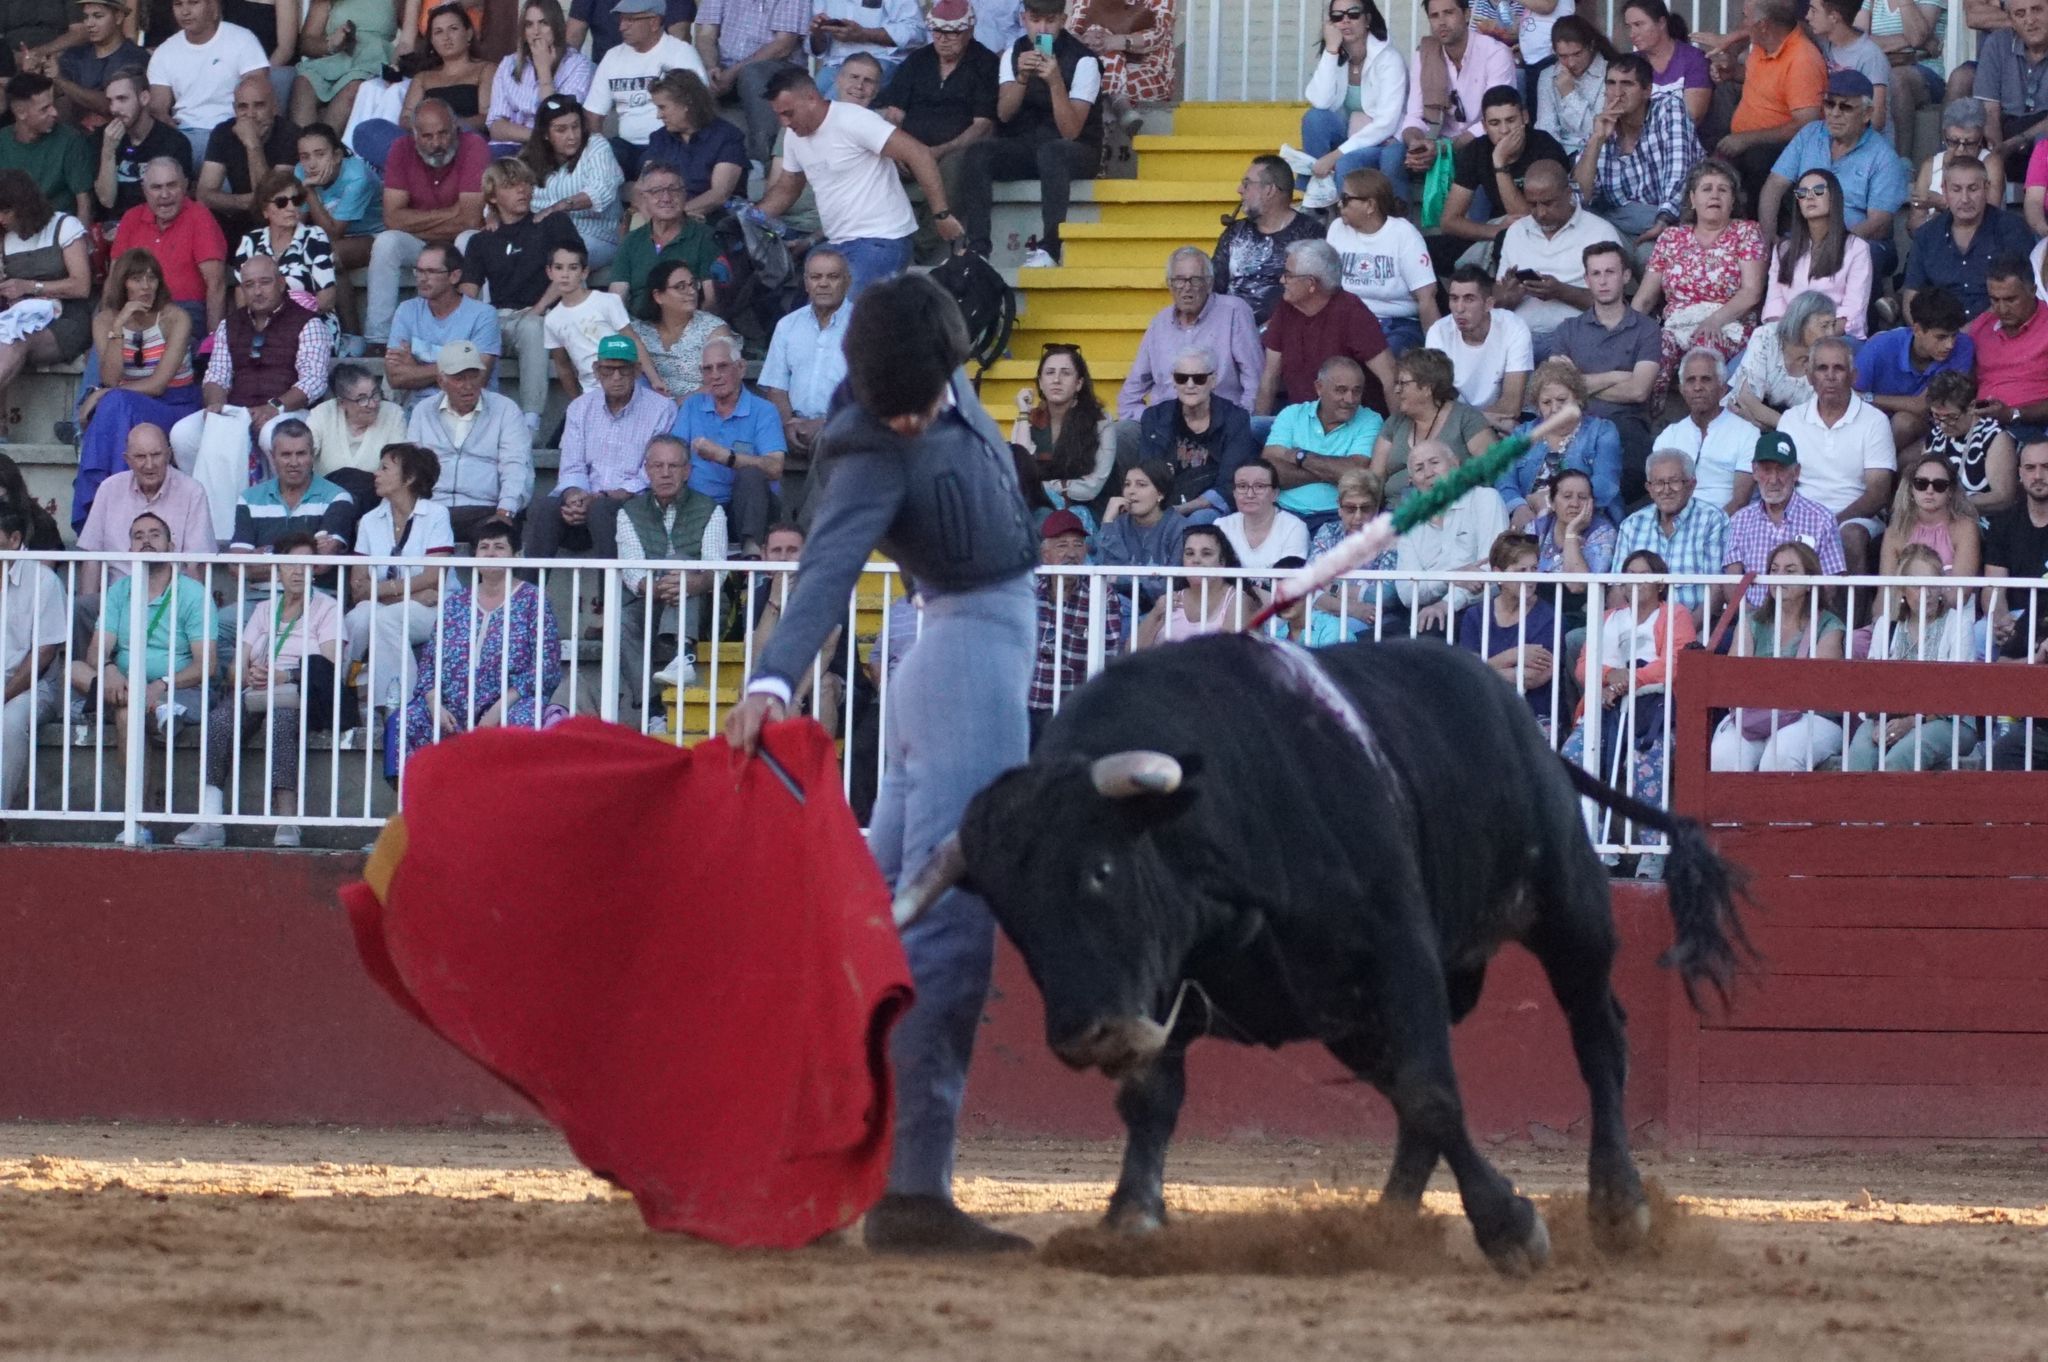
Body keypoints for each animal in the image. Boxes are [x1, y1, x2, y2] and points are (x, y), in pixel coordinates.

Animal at [897, 630, 1744, 1269]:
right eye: (1011, 915)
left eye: (1100, 870)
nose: (1086, 1035)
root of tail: (1511, 710)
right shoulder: (1174, 985)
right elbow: (1151, 1100)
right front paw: (1130, 1218)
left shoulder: (1401, 954)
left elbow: (1434, 1092)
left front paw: (1509, 1227)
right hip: (1348, 1017)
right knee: (1407, 1096)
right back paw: (1388, 1221)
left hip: (1567, 909)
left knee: (1597, 1036)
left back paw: (1618, 1206)